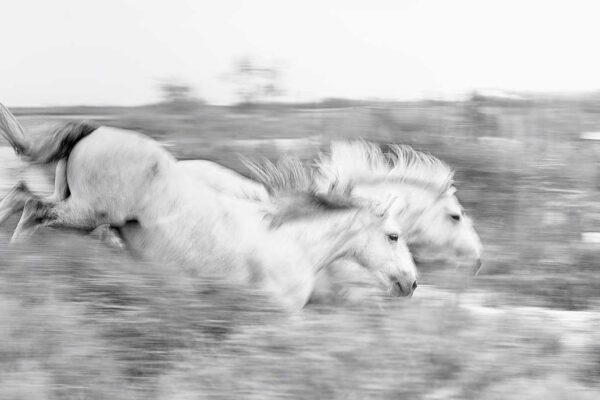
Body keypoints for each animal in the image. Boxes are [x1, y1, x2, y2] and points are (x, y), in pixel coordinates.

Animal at [0, 103, 418, 310]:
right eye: (393, 236)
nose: (412, 283)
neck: (292, 244)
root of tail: (97, 129)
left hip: (72, 201)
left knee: (21, 195)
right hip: (88, 213)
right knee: (32, 209)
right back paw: (17, 268)